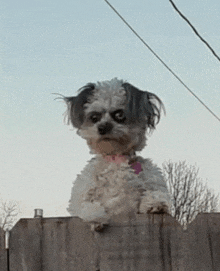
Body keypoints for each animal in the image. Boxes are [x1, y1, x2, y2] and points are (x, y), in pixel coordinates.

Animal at [61, 78, 171, 225]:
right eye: (94, 117)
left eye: (119, 114)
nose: (102, 127)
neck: (116, 158)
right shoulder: (81, 194)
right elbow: (85, 205)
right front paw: (95, 215)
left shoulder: (153, 181)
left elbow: (156, 193)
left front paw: (155, 203)